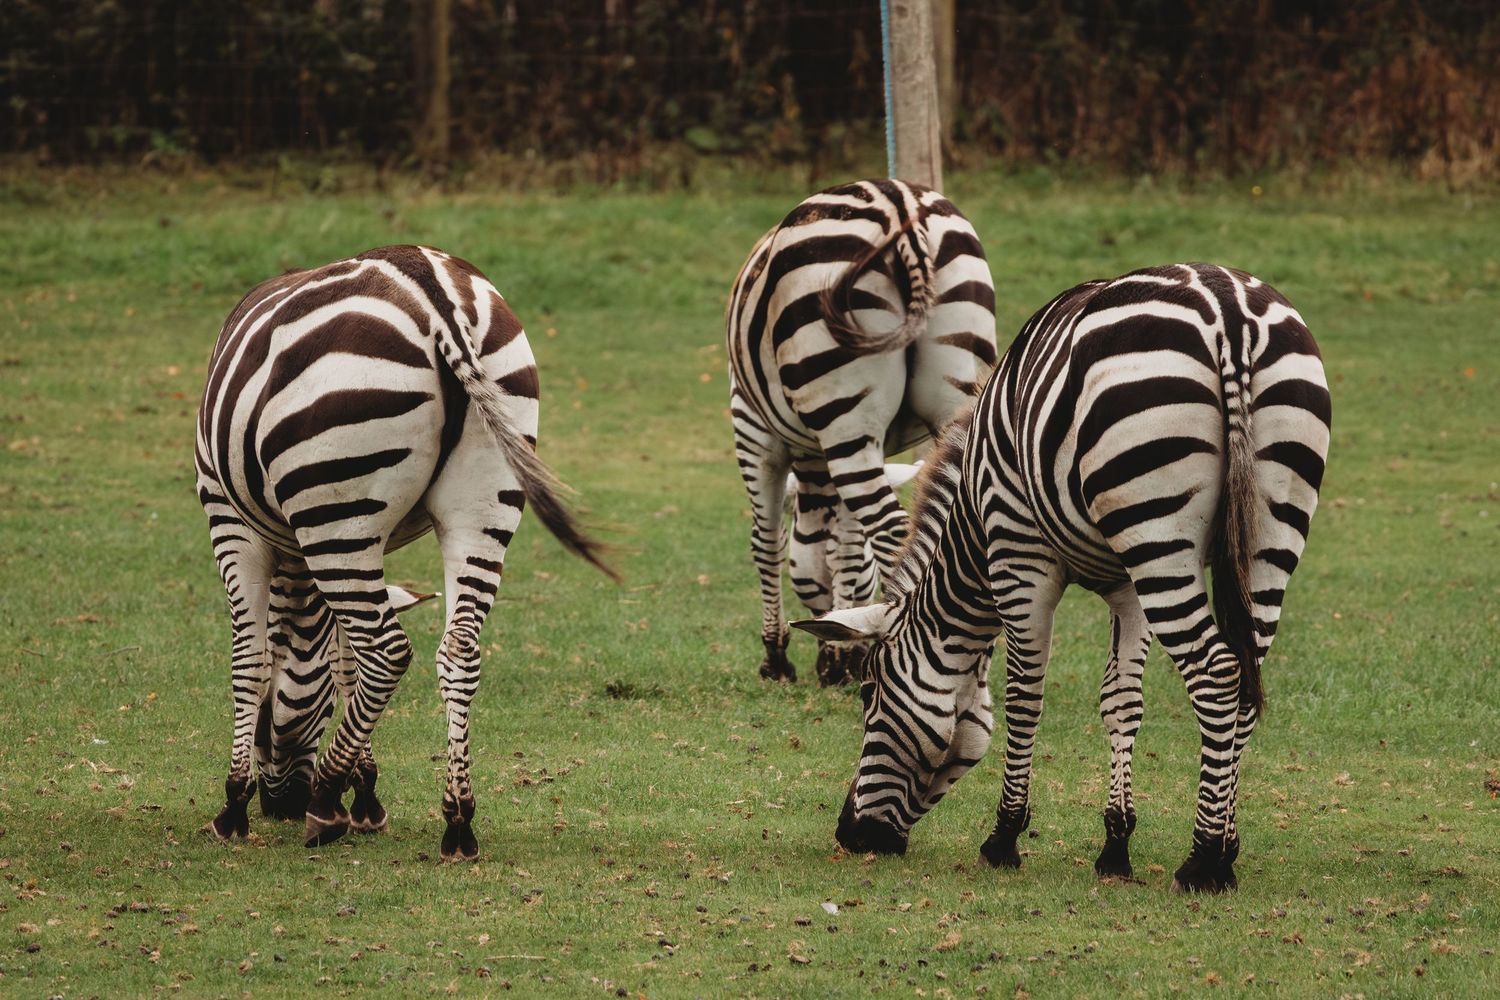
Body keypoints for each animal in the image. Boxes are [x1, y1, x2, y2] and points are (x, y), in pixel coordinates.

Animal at [196, 244, 614, 859]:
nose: (281, 805)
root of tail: (433, 292)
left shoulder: (228, 518)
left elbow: (250, 659)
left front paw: (235, 805)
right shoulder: (366, 544)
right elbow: (344, 663)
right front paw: (365, 793)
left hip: (336, 505)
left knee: (388, 651)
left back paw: (325, 800)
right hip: (481, 496)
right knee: (457, 649)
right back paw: (457, 819)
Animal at [727, 178, 997, 686]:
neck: (814, 465)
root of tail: (898, 202)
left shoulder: (752, 428)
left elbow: (767, 541)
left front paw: (779, 658)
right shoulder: (867, 448)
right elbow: (848, 550)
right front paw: (844, 655)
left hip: (839, 404)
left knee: (893, 529)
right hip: (952, 389)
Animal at [794, 263, 1330, 892]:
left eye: (867, 692)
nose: (849, 835)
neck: (973, 522)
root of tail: (1229, 312)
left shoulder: (1018, 555)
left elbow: (1025, 695)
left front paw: (1003, 838)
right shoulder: (1126, 584)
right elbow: (1121, 701)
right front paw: (1115, 846)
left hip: (1157, 530)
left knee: (1217, 673)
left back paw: (1204, 860)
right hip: (1266, 529)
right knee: (1247, 673)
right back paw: (1228, 846)